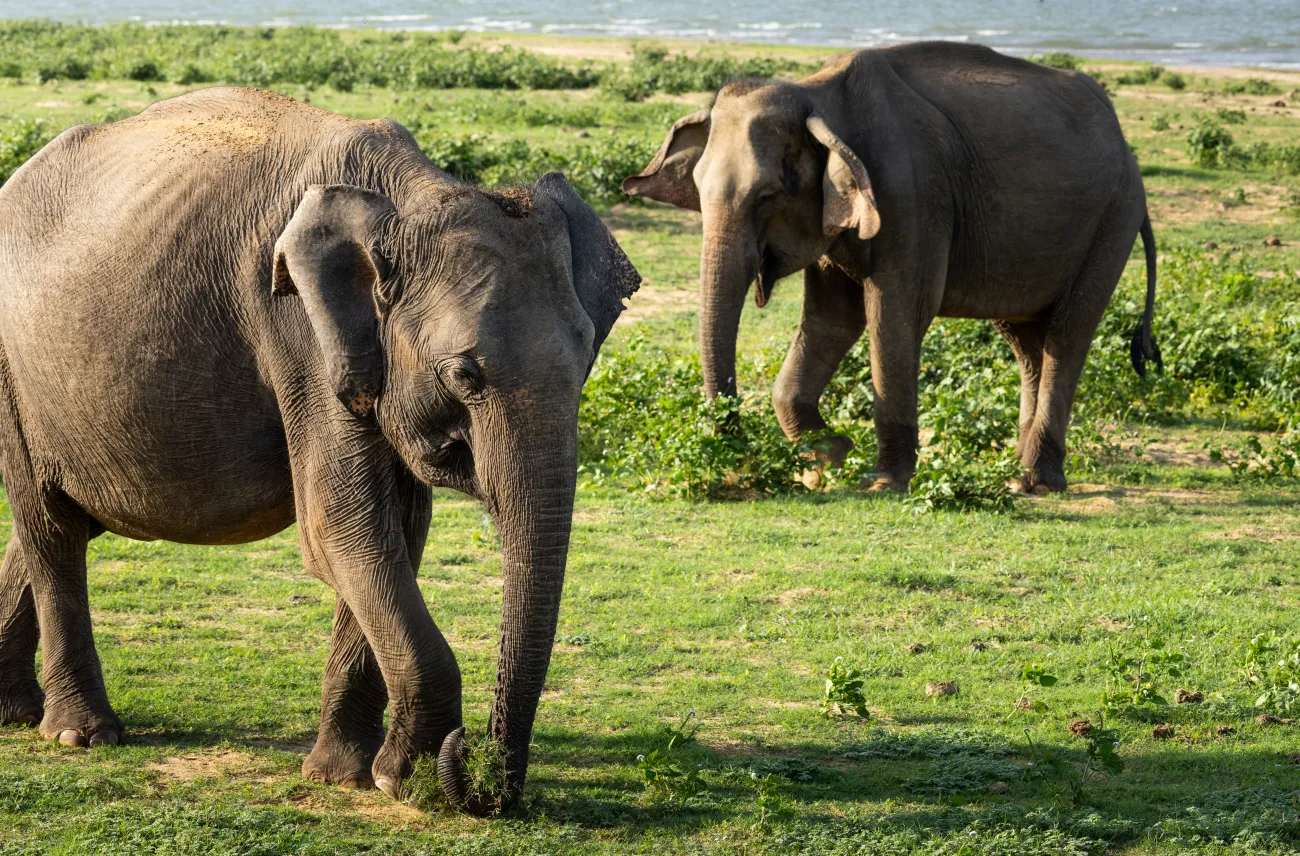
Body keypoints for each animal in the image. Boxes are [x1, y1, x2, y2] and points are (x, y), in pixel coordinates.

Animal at [0, 87, 639, 814]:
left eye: (586, 361)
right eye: (463, 375)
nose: (472, 762)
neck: (410, 195)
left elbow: (396, 527)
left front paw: (347, 775)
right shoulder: (294, 328)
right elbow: (342, 526)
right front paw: (408, 779)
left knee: (55, 523)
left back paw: (15, 712)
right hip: (14, 369)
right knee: (50, 523)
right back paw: (79, 734)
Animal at [624, 42, 1159, 493]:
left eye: (768, 196)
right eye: (696, 188)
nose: (738, 457)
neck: (819, 93)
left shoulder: (911, 196)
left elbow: (895, 314)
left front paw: (881, 483)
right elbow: (830, 321)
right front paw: (832, 459)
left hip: (1113, 217)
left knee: (1067, 335)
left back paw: (1037, 482)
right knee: (1027, 340)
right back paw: (1016, 475)